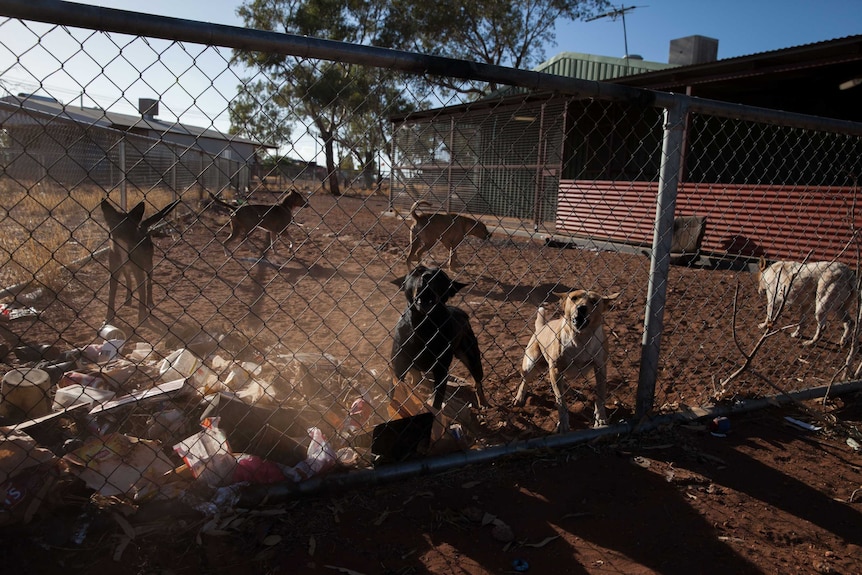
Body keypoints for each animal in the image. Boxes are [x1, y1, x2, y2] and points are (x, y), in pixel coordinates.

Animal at [98, 198, 178, 326]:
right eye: (114, 222)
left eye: (128, 224)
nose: (118, 231)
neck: (124, 247)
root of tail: (142, 226)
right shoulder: (114, 272)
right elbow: (111, 295)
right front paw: (109, 318)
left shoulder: (139, 271)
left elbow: (142, 294)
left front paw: (142, 317)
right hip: (125, 269)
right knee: (129, 281)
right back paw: (128, 299)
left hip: (148, 266)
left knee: (149, 285)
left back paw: (149, 301)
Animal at [392, 266, 486, 414]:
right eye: (417, 271)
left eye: (440, 276)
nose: (426, 276)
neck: (424, 326)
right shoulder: (399, 364)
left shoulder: (441, 371)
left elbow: (436, 401)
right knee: (416, 378)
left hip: (472, 358)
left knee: (478, 382)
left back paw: (483, 402)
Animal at [512, 288, 620, 432]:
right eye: (574, 298)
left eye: (594, 301)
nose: (581, 308)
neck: (581, 339)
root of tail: (542, 326)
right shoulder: (556, 369)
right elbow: (560, 401)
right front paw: (563, 423)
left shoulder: (600, 368)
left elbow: (600, 397)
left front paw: (601, 419)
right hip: (532, 364)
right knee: (525, 380)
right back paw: (519, 398)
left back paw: (574, 393)